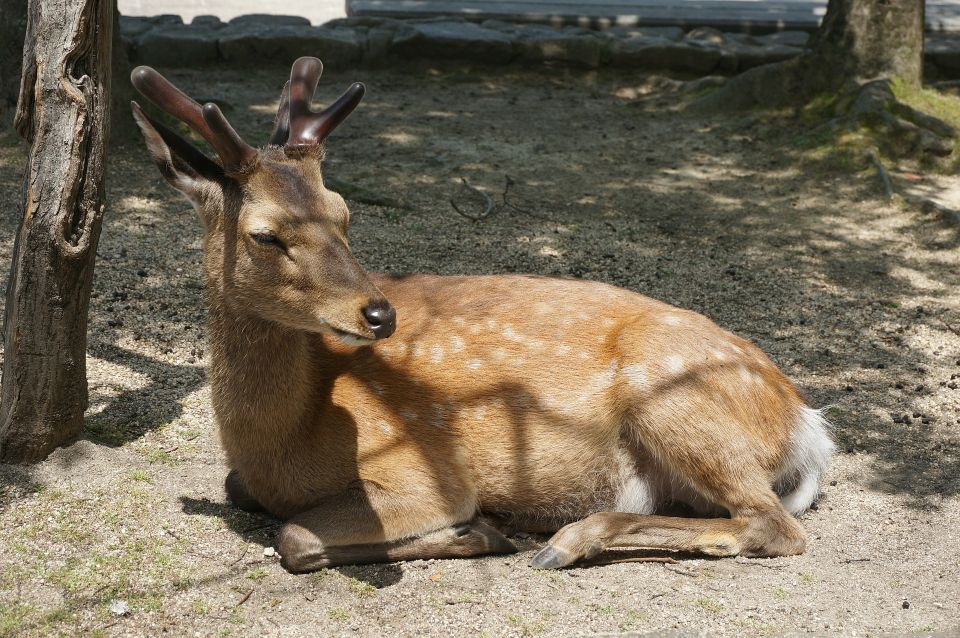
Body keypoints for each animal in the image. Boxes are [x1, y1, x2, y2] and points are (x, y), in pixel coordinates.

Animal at [127, 57, 832, 572]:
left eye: (344, 211)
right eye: (266, 235)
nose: (378, 314)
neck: (280, 444)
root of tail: (806, 423)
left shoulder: (424, 471)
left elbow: (295, 538)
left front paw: (482, 530)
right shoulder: (251, 478)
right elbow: (237, 490)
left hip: (676, 396)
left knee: (775, 526)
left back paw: (565, 541)